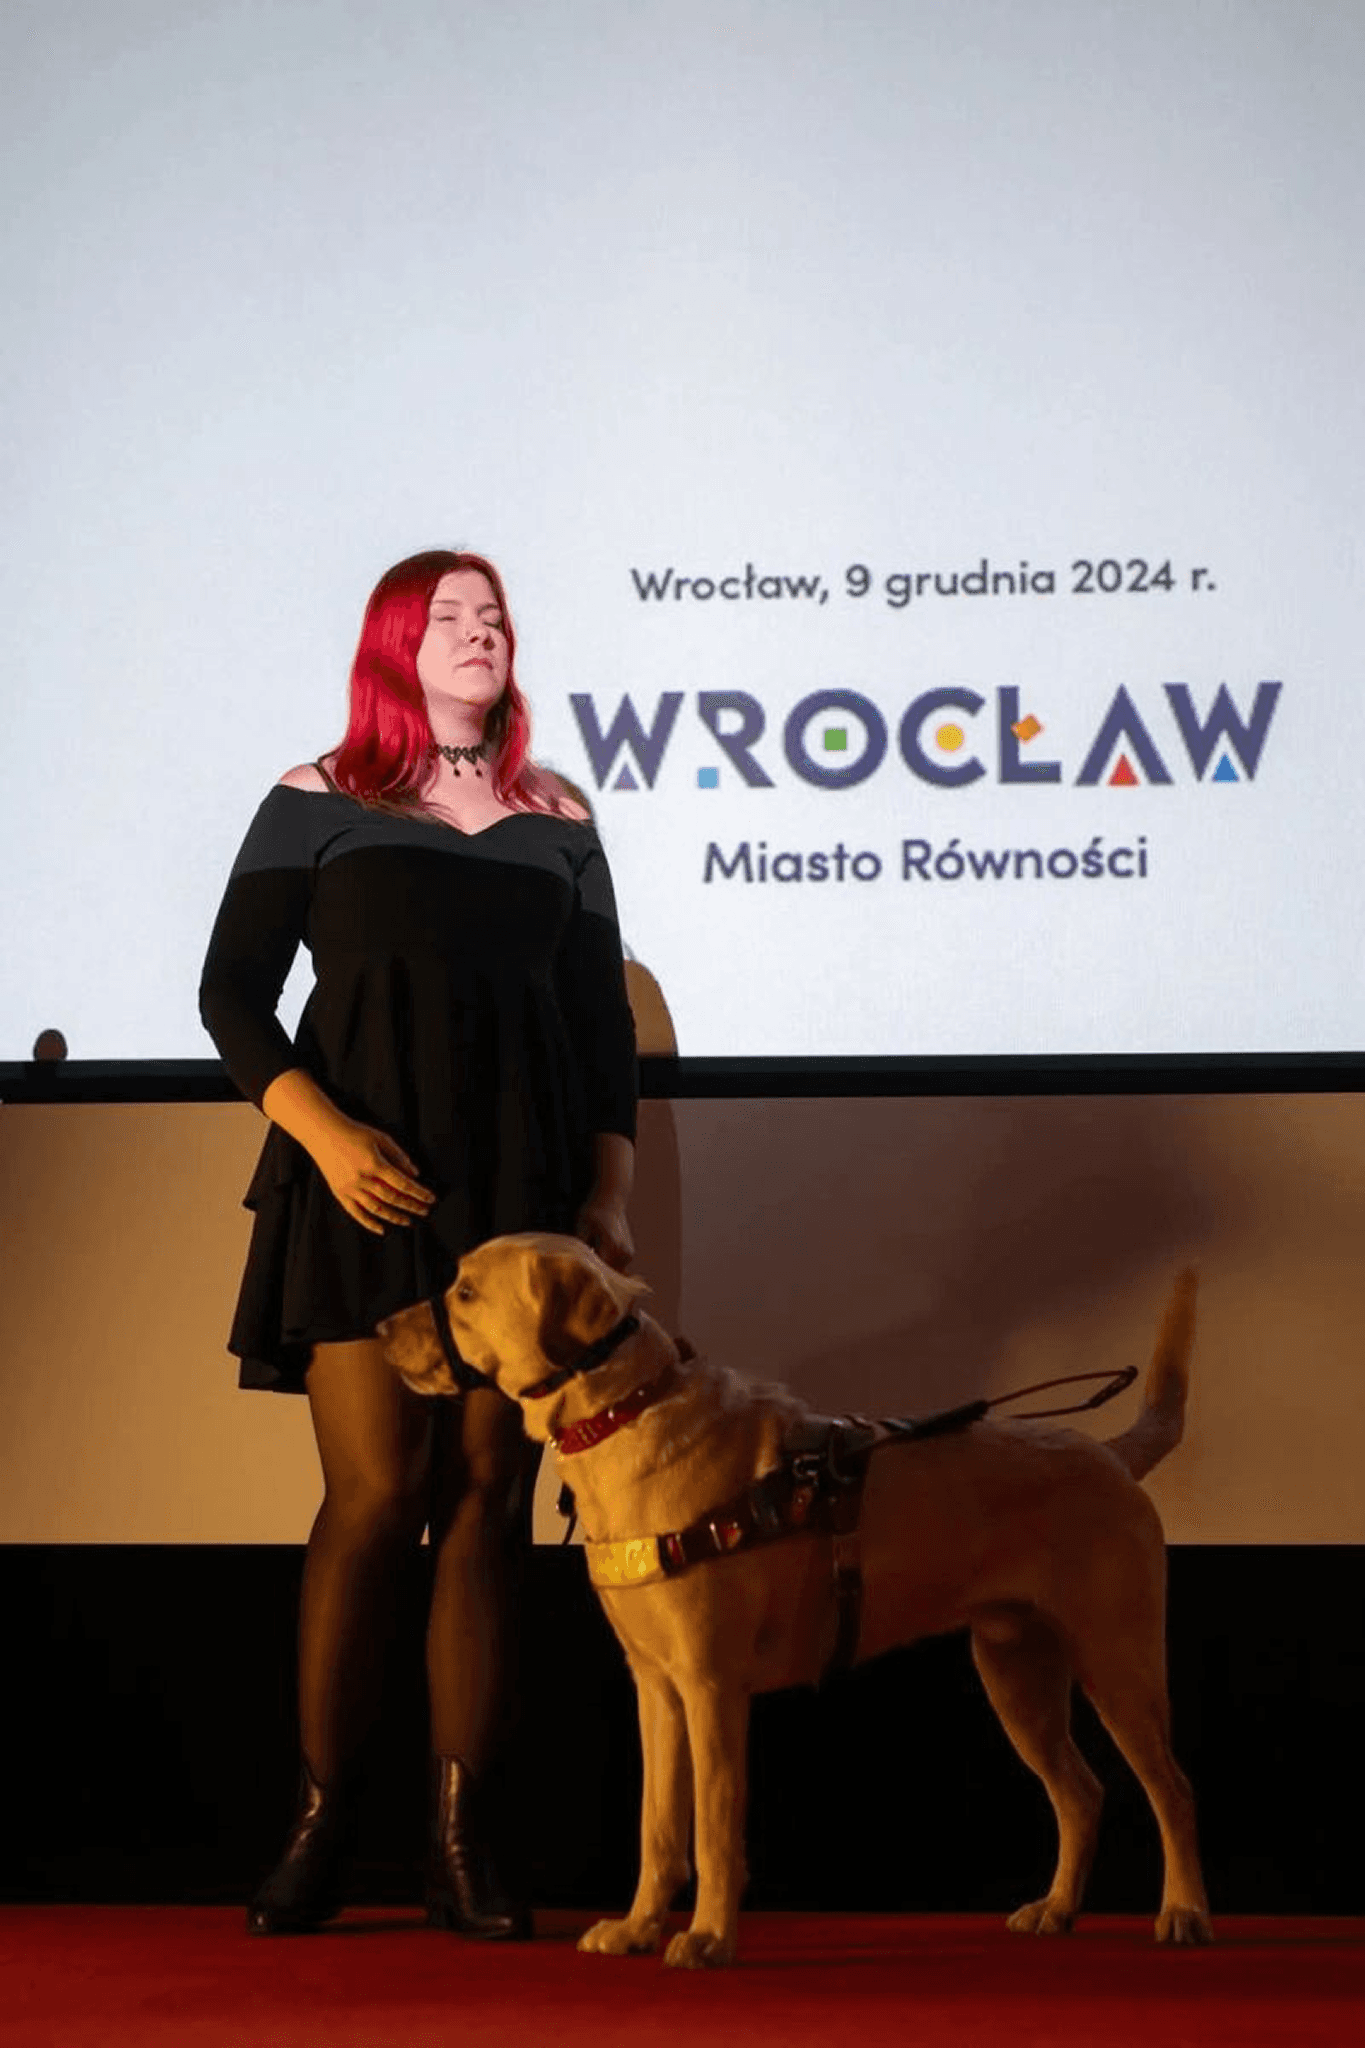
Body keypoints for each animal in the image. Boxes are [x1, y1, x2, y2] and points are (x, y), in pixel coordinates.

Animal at [379, 1233, 1211, 1968]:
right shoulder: (656, 1689)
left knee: (1171, 1789)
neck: (627, 1408)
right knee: (1081, 1793)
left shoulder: (713, 1688)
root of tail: (1110, 1454)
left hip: (1118, 1664)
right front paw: (638, 1926)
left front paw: (708, 1938)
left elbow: (713, 1829)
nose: (380, 1329)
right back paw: (1058, 1908)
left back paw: (1183, 1912)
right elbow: (658, 1827)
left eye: (465, 1291)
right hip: (1017, 1678)